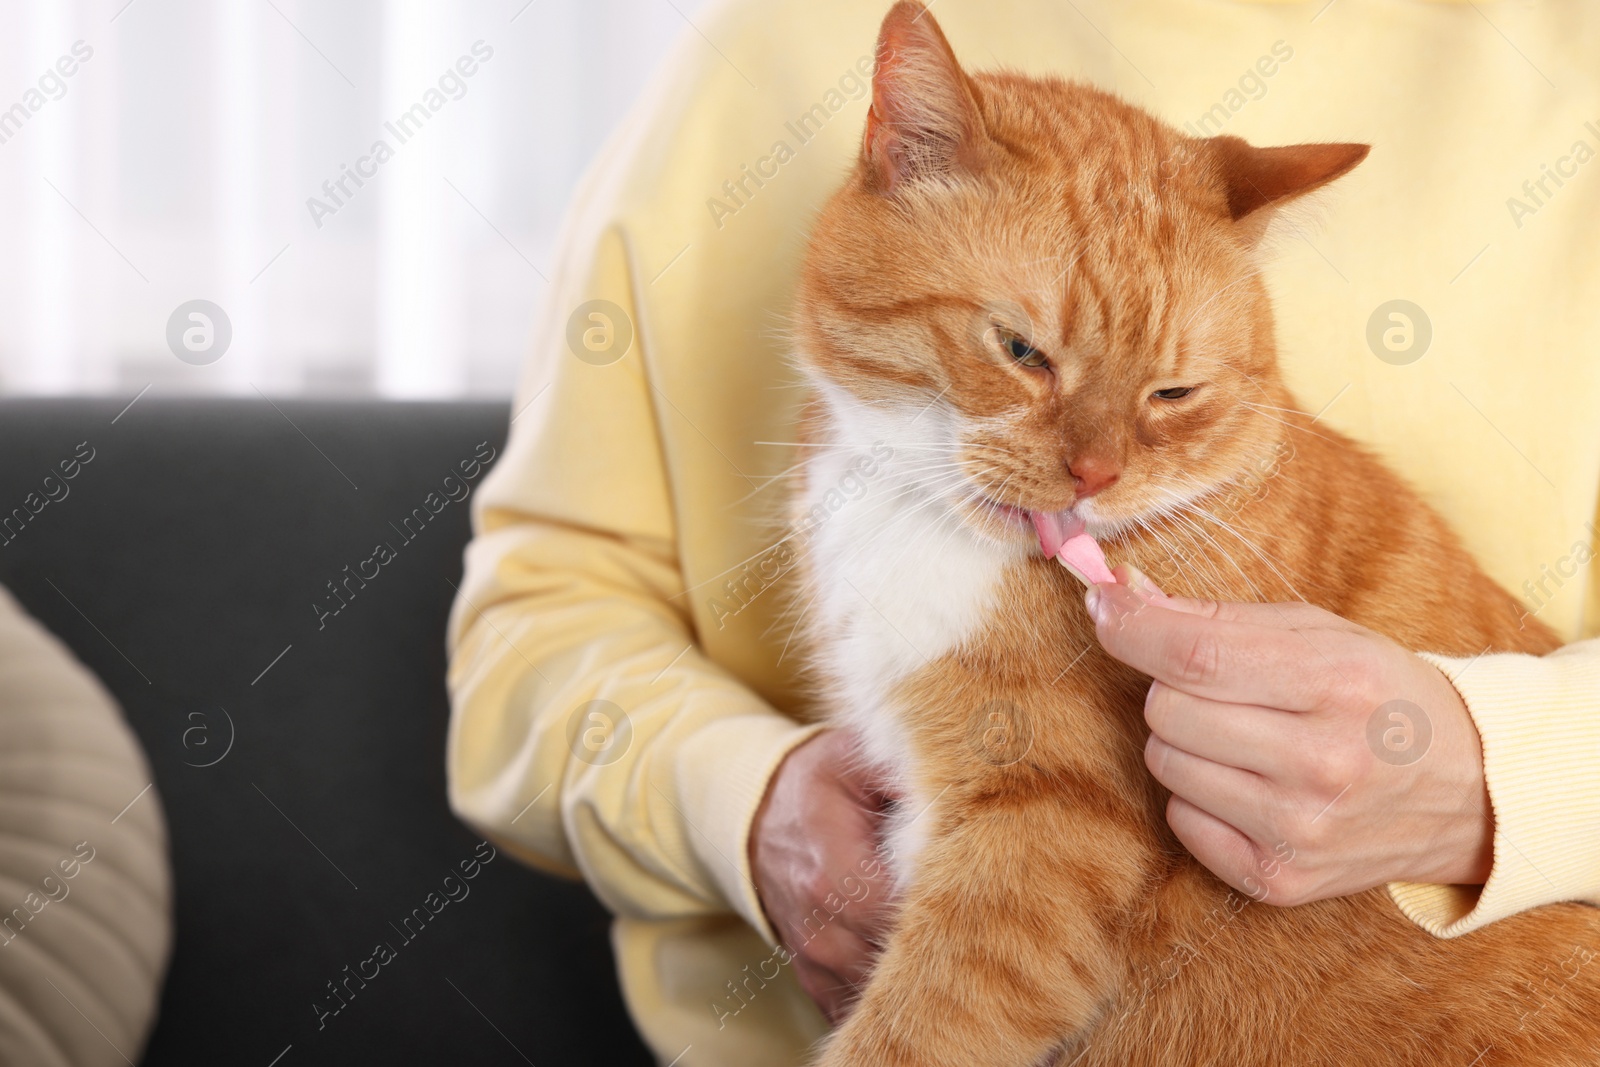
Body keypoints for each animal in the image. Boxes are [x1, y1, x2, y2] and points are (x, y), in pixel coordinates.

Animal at [787, 4, 1600, 1062]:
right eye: (1021, 351)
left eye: (1171, 393)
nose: (1093, 477)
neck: (919, 515)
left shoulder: (1043, 845)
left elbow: (915, 1028)